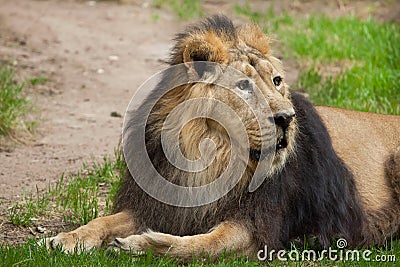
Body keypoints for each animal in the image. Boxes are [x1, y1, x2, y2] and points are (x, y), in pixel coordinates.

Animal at [45, 15, 398, 262]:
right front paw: (67, 239)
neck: (211, 158)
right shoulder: (158, 206)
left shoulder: (257, 228)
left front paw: (143, 245)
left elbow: (205, 245)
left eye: (277, 81)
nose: (287, 118)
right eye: (244, 85)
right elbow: (103, 221)